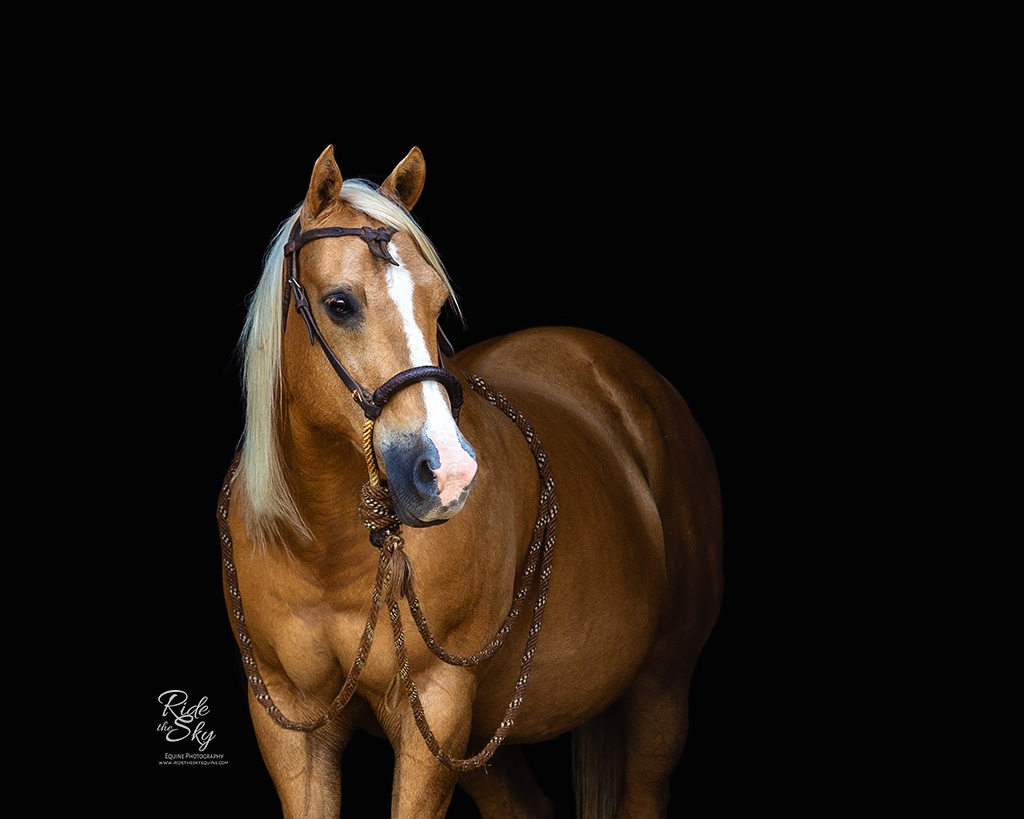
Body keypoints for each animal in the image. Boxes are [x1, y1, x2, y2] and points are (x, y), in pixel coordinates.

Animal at [220, 144, 724, 814]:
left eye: (436, 304)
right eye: (339, 304)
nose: (449, 472)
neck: (323, 549)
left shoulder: (436, 702)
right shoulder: (288, 722)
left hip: (659, 691)